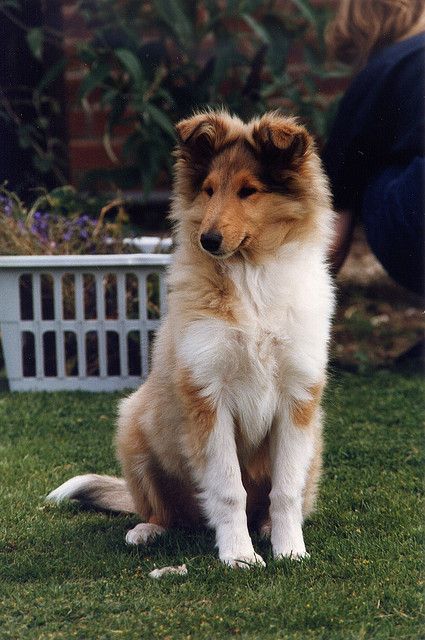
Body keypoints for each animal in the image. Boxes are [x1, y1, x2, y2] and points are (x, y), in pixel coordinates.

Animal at [48, 112, 334, 568]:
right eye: (209, 189)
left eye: (249, 191)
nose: (208, 240)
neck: (250, 275)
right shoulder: (207, 396)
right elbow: (229, 490)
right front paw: (239, 557)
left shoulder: (298, 397)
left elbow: (285, 491)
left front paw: (290, 551)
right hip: (134, 427)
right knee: (167, 511)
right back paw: (148, 530)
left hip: (314, 447)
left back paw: (266, 529)